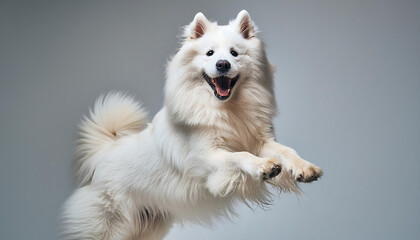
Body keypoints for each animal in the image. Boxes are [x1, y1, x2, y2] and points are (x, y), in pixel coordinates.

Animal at [61, 10, 322, 239]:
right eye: (209, 53)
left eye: (234, 53)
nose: (223, 64)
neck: (227, 110)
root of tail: (101, 156)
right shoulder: (206, 157)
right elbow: (240, 156)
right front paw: (263, 166)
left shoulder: (261, 141)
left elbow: (285, 151)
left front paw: (304, 168)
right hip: (107, 226)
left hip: (149, 227)